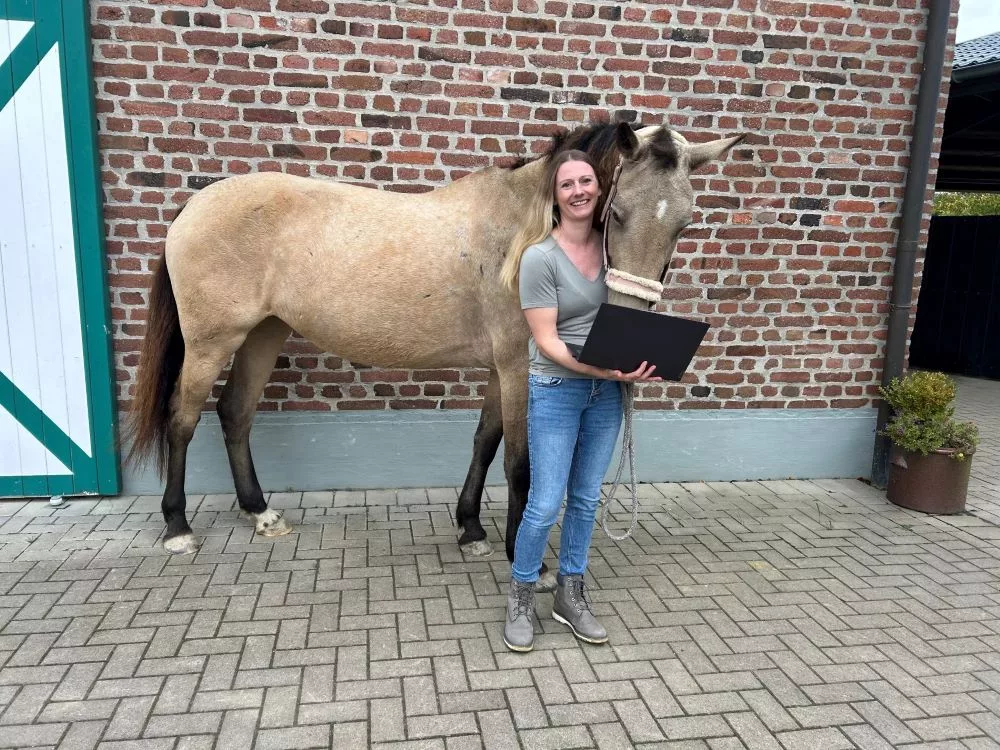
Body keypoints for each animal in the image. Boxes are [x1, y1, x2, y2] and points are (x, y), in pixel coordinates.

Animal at [127, 120, 742, 574]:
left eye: (684, 224)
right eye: (616, 211)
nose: (626, 334)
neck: (523, 233)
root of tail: (192, 208)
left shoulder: (499, 367)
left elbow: (485, 442)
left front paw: (470, 528)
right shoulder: (517, 365)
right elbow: (519, 462)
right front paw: (524, 555)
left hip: (264, 334)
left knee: (235, 413)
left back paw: (260, 513)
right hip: (212, 342)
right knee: (183, 419)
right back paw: (178, 528)